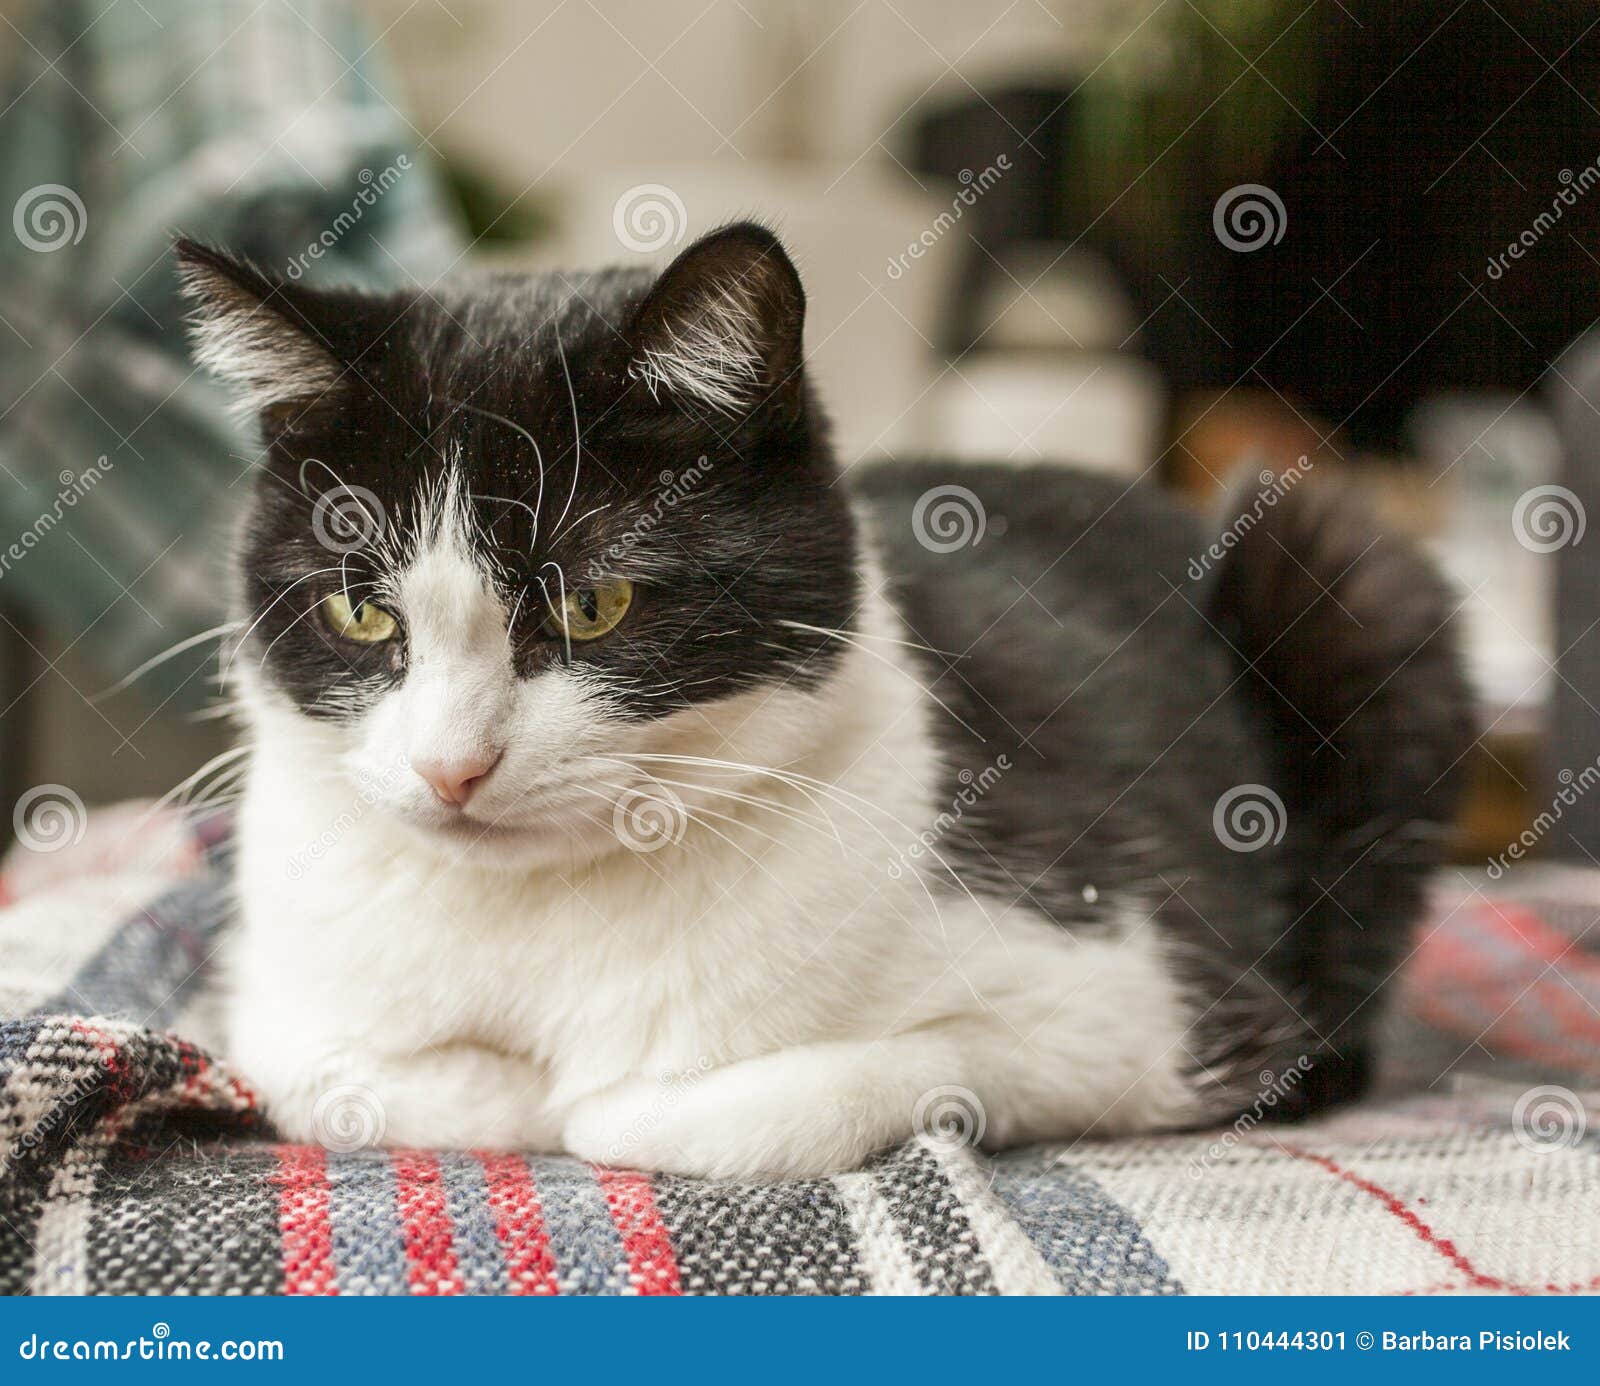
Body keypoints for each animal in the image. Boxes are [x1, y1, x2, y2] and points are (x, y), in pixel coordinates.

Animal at [178, 220, 1472, 1171]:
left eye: (594, 604)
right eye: (363, 614)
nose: (452, 768)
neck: (540, 918)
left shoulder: (1138, 1000)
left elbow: (777, 1097)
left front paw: (596, 1098)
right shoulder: (269, 989)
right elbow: (323, 1072)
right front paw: (506, 1083)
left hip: (1354, 568)